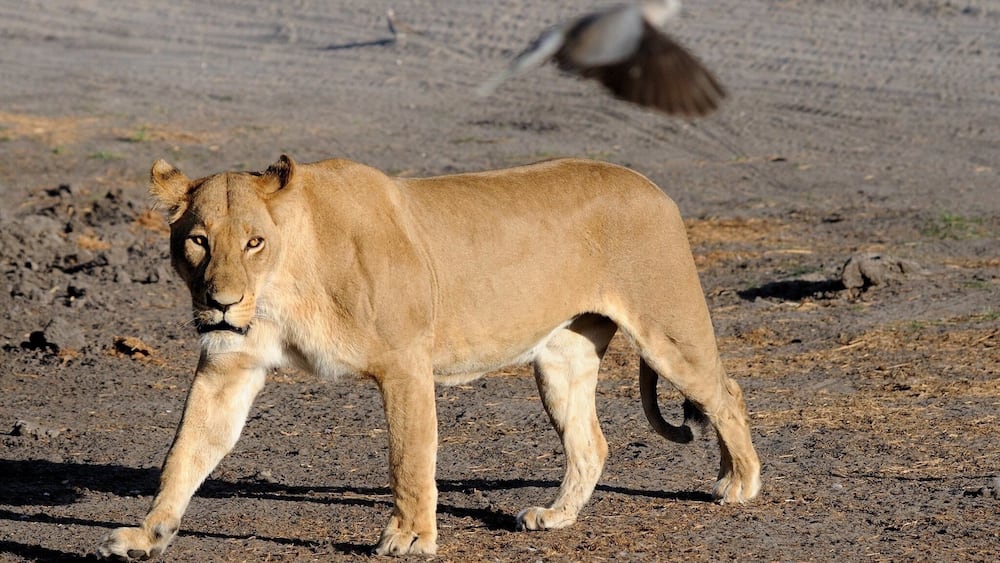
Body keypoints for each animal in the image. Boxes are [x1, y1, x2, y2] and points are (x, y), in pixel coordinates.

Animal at [97, 155, 761, 559]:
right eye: (198, 241)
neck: (284, 281)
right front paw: (149, 533)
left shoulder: (404, 363)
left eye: (254, 241)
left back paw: (740, 483)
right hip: (561, 357)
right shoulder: (228, 365)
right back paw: (556, 516)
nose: (221, 303)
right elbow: (186, 452)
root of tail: (651, 185)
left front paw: (411, 538)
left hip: (667, 329)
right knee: (591, 442)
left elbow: (408, 458)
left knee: (724, 392)